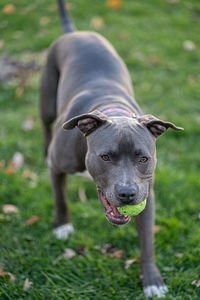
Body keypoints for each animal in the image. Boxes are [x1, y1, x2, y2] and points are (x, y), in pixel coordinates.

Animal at [39, 1, 184, 298]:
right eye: (105, 157)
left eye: (144, 158)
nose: (127, 193)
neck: (113, 111)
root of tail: (76, 32)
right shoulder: (57, 167)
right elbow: (60, 198)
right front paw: (62, 226)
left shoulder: (147, 194)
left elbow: (147, 242)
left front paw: (152, 280)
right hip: (46, 97)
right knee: (45, 126)